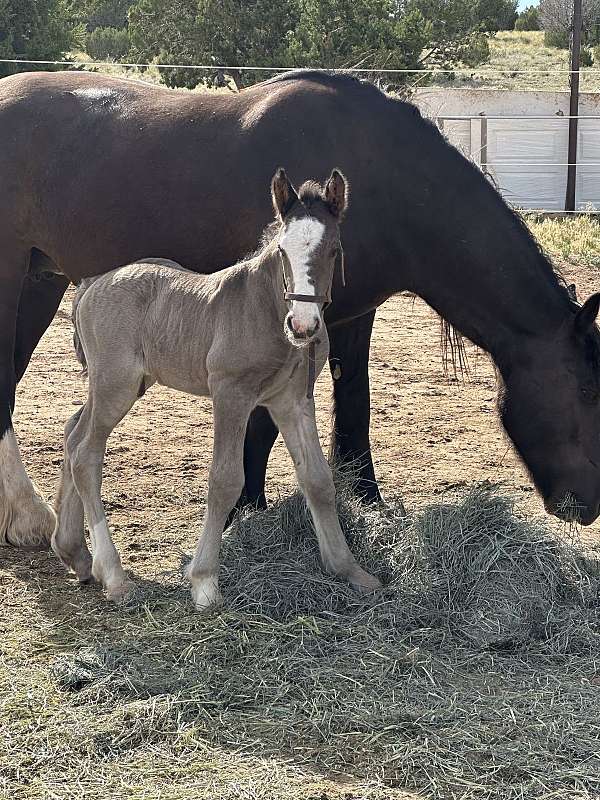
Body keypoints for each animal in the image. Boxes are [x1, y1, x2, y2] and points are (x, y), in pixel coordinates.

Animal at [1, 69, 600, 548]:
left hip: (40, 283)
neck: (382, 178)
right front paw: (246, 511)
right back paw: (31, 520)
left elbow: (354, 401)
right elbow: (263, 421)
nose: (588, 506)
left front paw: (367, 502)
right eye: (586, 391)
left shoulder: (354, 314)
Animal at [51, 167, 380, 608]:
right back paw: (115, 577)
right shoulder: (231, 394)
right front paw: (204, 580)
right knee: (86, 452)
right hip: (115, 385)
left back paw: (76, 555)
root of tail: (91, 283)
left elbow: (318, 479)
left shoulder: (292, 400)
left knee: (73, 433)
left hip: (126, 384)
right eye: (282, 251)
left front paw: (348, 569)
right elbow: (224, 480)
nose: (303, 325)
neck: (265, 310)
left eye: (333, 250)